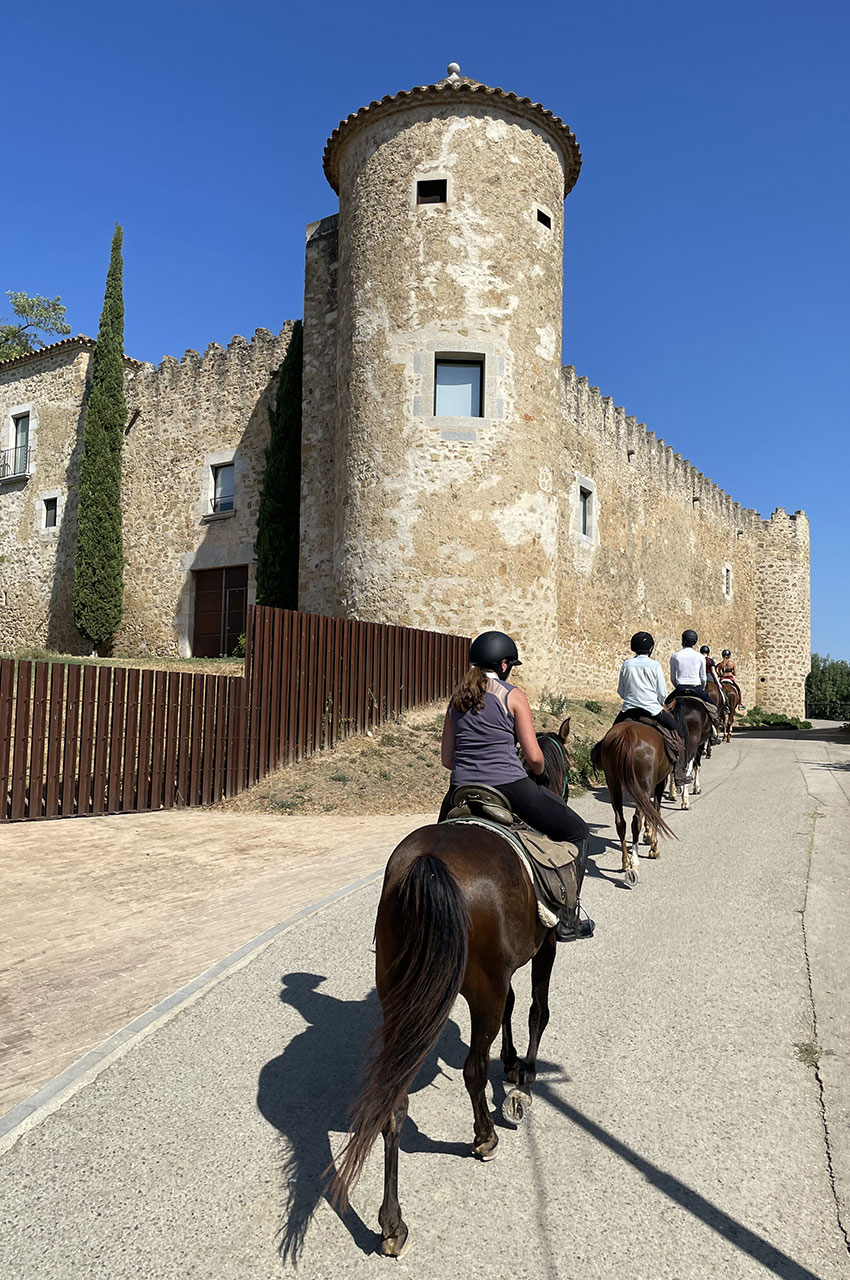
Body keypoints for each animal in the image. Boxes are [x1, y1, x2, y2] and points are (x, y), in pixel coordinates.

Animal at [327, 727, 573, 1254]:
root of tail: (429, 863)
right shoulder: (543, 949)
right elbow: (536, 1009)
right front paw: (523, 1081)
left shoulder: (499, 975)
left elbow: (516, 1007)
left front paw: (513, 1062)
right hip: (480, 987)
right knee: (473, 1069)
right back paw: (484, 1137)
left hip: (404, 1001)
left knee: (395, 1100)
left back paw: (391, 1223)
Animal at [588, 721, 675, 890]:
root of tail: (628, 734)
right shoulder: (660, 782)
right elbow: (656, 812)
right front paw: (653, 847)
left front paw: (648, 836)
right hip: (643, 785)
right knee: (636, 821)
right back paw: (633, 865)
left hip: (614, 785)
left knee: (620, 822)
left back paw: (625, 862)